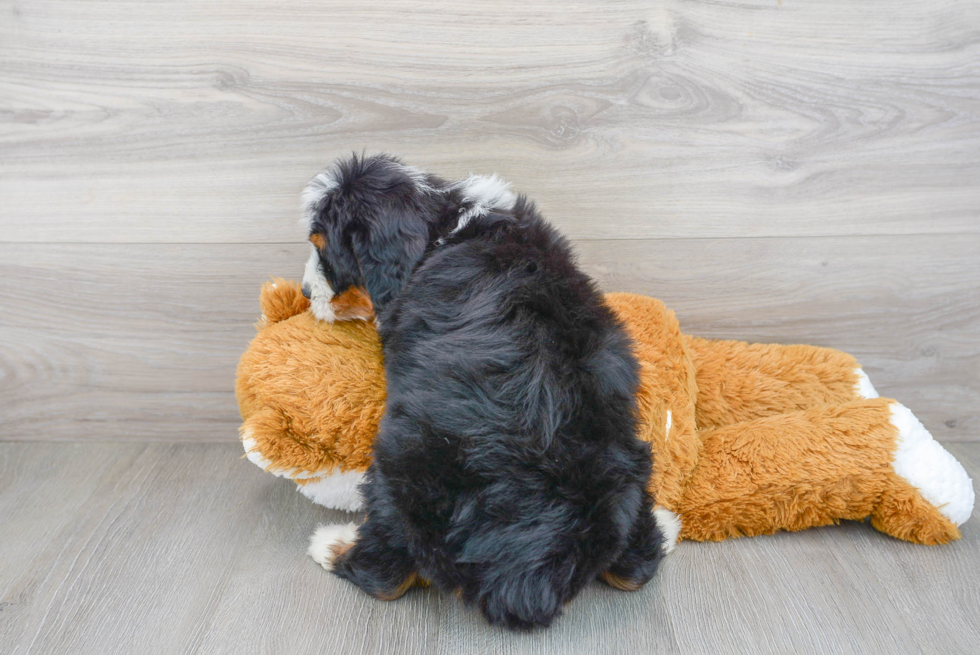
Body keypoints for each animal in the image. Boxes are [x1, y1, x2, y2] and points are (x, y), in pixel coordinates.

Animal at [302, 154, 664, 632]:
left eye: (323, 247)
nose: (305, 292)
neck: (444, 224)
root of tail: (530, 568)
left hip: (399, 465)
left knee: (386, 574)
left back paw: (332, 546)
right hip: (630, 463)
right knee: (637, 568)